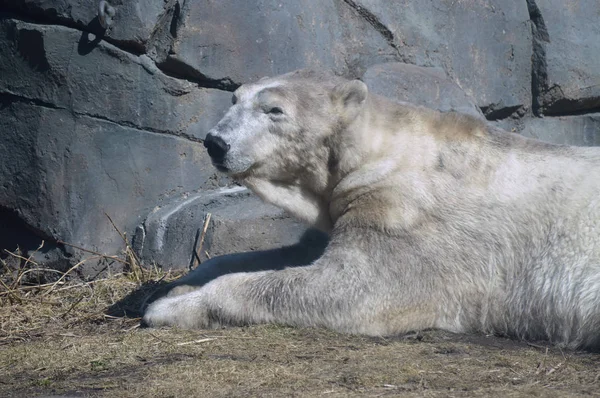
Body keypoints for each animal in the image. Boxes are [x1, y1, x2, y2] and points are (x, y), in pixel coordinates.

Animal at [144, 70, 600, 350]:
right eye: (235, 98)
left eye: (274, 109)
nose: (215, 142)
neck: (382, 153)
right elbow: (295, 251)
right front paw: (174, 285)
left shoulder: (405, 217)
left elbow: (353, 285)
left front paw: (167, 309)